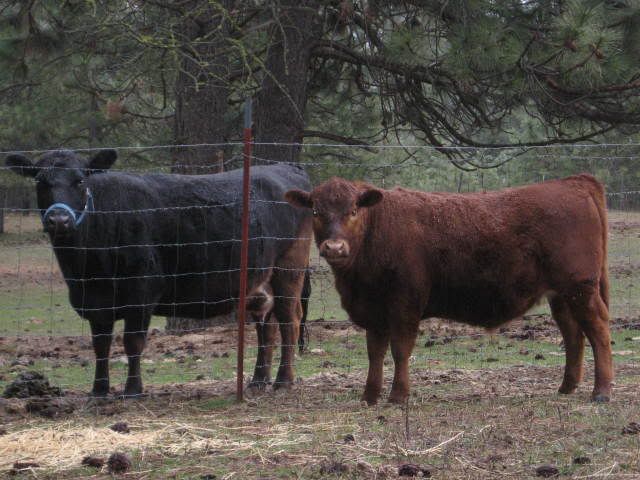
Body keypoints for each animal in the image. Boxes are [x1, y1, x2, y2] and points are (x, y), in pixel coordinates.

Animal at [5, 149, 312, 397]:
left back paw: (283, 381)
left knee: (289, 321)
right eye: (40, 181)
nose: (59, 219)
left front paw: (132, 390)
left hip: (288, 269)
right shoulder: (96, 301)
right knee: (266, 325)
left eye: (80, 180)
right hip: (260, 281)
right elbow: (101, 345)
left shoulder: (141, 291)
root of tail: (284, 167)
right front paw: (99, 391)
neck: (85, 270)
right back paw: (258, 380)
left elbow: (132, 342)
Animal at [285, 174, 612, 405]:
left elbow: (400, 350)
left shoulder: (405, 304)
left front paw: (398, 395)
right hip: (562, 296)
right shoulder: (374, 310)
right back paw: (567, 387)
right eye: (315, 211)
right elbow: (375, 353)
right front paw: (369, 396)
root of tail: (572, 182)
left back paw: (602, 391)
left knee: (598, 330)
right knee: (573, 335)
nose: (334, 247)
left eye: (353, 210)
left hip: (580, 288)